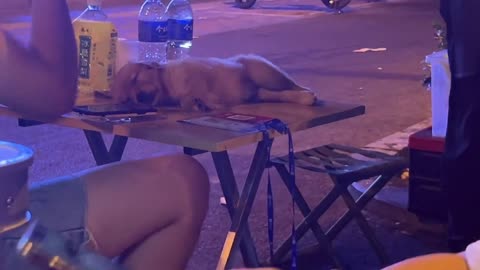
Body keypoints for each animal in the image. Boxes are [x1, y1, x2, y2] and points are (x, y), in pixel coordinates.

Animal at [110, 54, 316, 111]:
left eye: (135, 78)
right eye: (127, 99)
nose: (140, 97)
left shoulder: (198, 73)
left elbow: (198, 86)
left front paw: (204, 101)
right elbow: (186, 101)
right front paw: (198, 104)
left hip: (266, 73)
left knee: (292, 85)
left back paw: (308, 92)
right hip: (262, 91)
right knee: (279, 94)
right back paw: (305, 98)